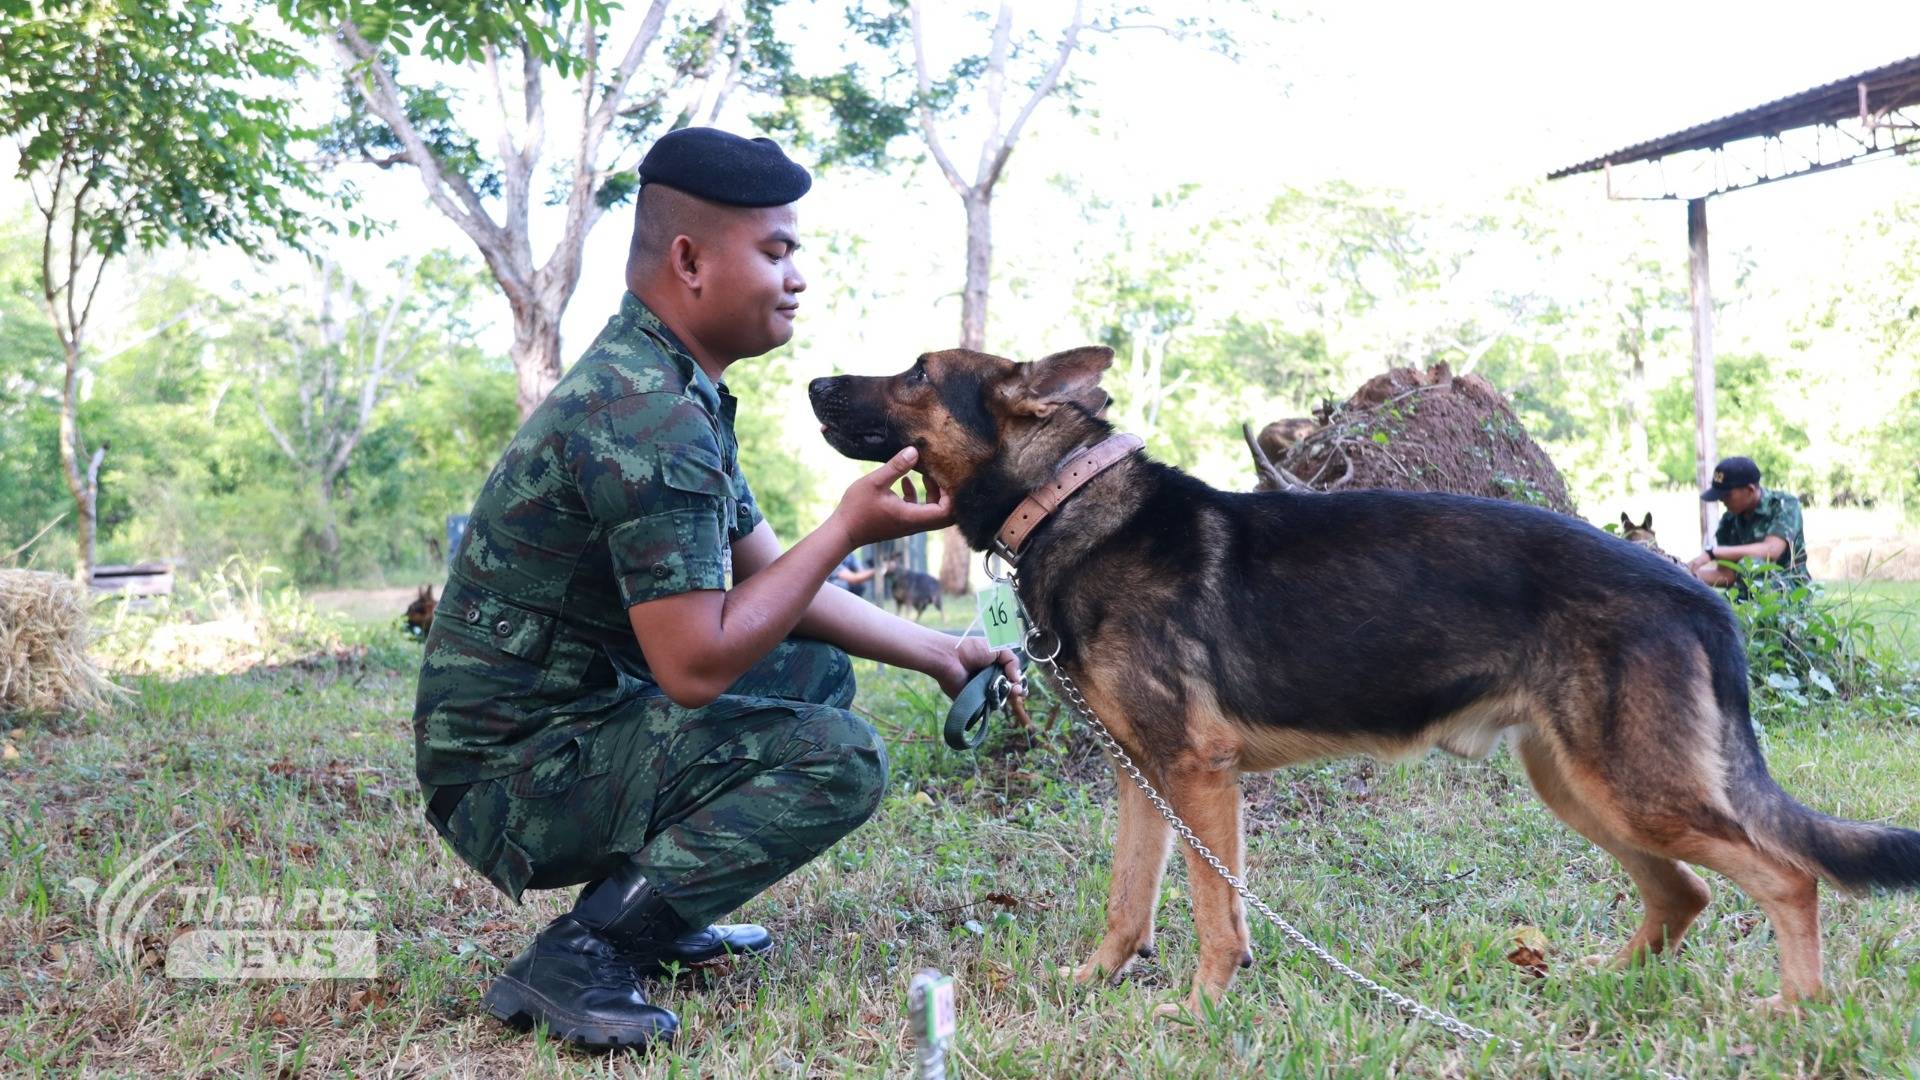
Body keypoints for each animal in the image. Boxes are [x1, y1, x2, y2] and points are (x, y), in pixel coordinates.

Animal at [814, 345, 1920, 1014]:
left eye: (916, 374)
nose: (816, 384)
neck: (1066, 498)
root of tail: (1702, 597)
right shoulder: (1145, 781)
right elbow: (1130, 904)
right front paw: (1092, 982)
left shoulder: (1198, 774)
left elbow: (1215, 915)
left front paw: (1204, 1006)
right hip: (1580, 786)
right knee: (1684, 894)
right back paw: (1592, 989)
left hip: (1632, 788)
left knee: (1784, 874)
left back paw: (1792, 1011)